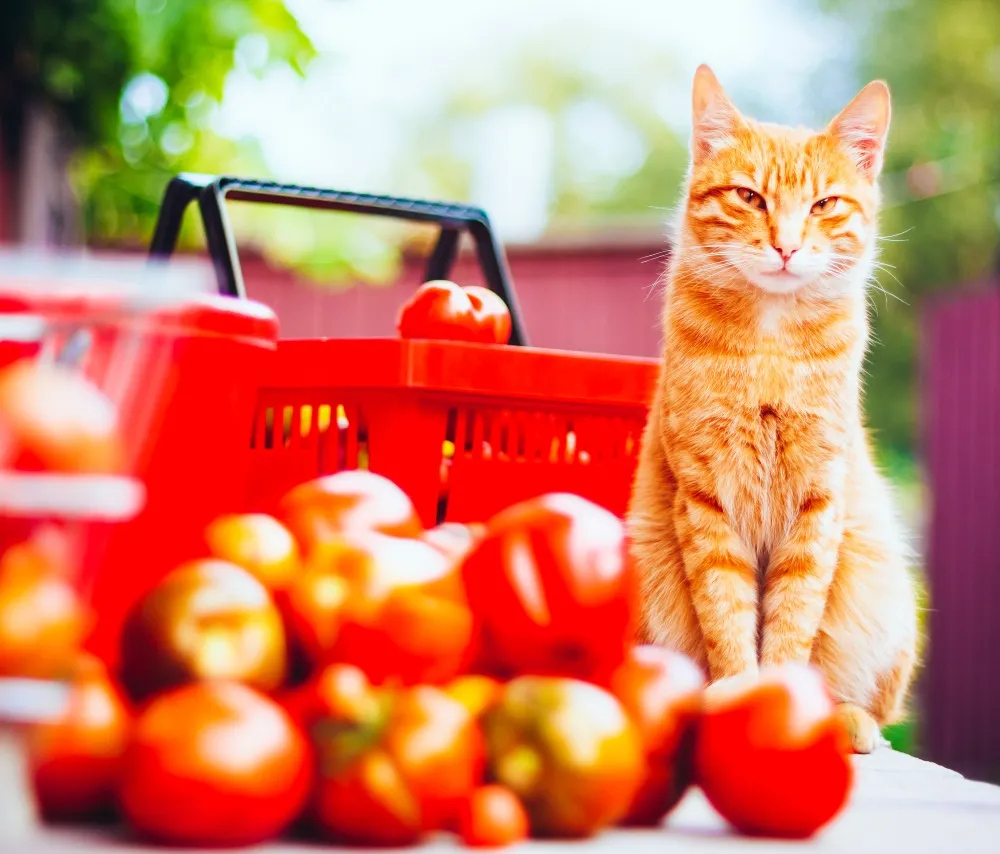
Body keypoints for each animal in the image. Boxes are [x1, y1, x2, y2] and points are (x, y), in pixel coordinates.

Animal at [628, 63, 916, 752]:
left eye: (823, 204)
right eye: (749, 198)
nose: (786, 246)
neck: (770, 346)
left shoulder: (817, 502)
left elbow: (791, 617)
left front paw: (784, 701)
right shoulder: (705, 498)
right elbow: (728, 610)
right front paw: (735, 690)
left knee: (875, 706)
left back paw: (848, 721)